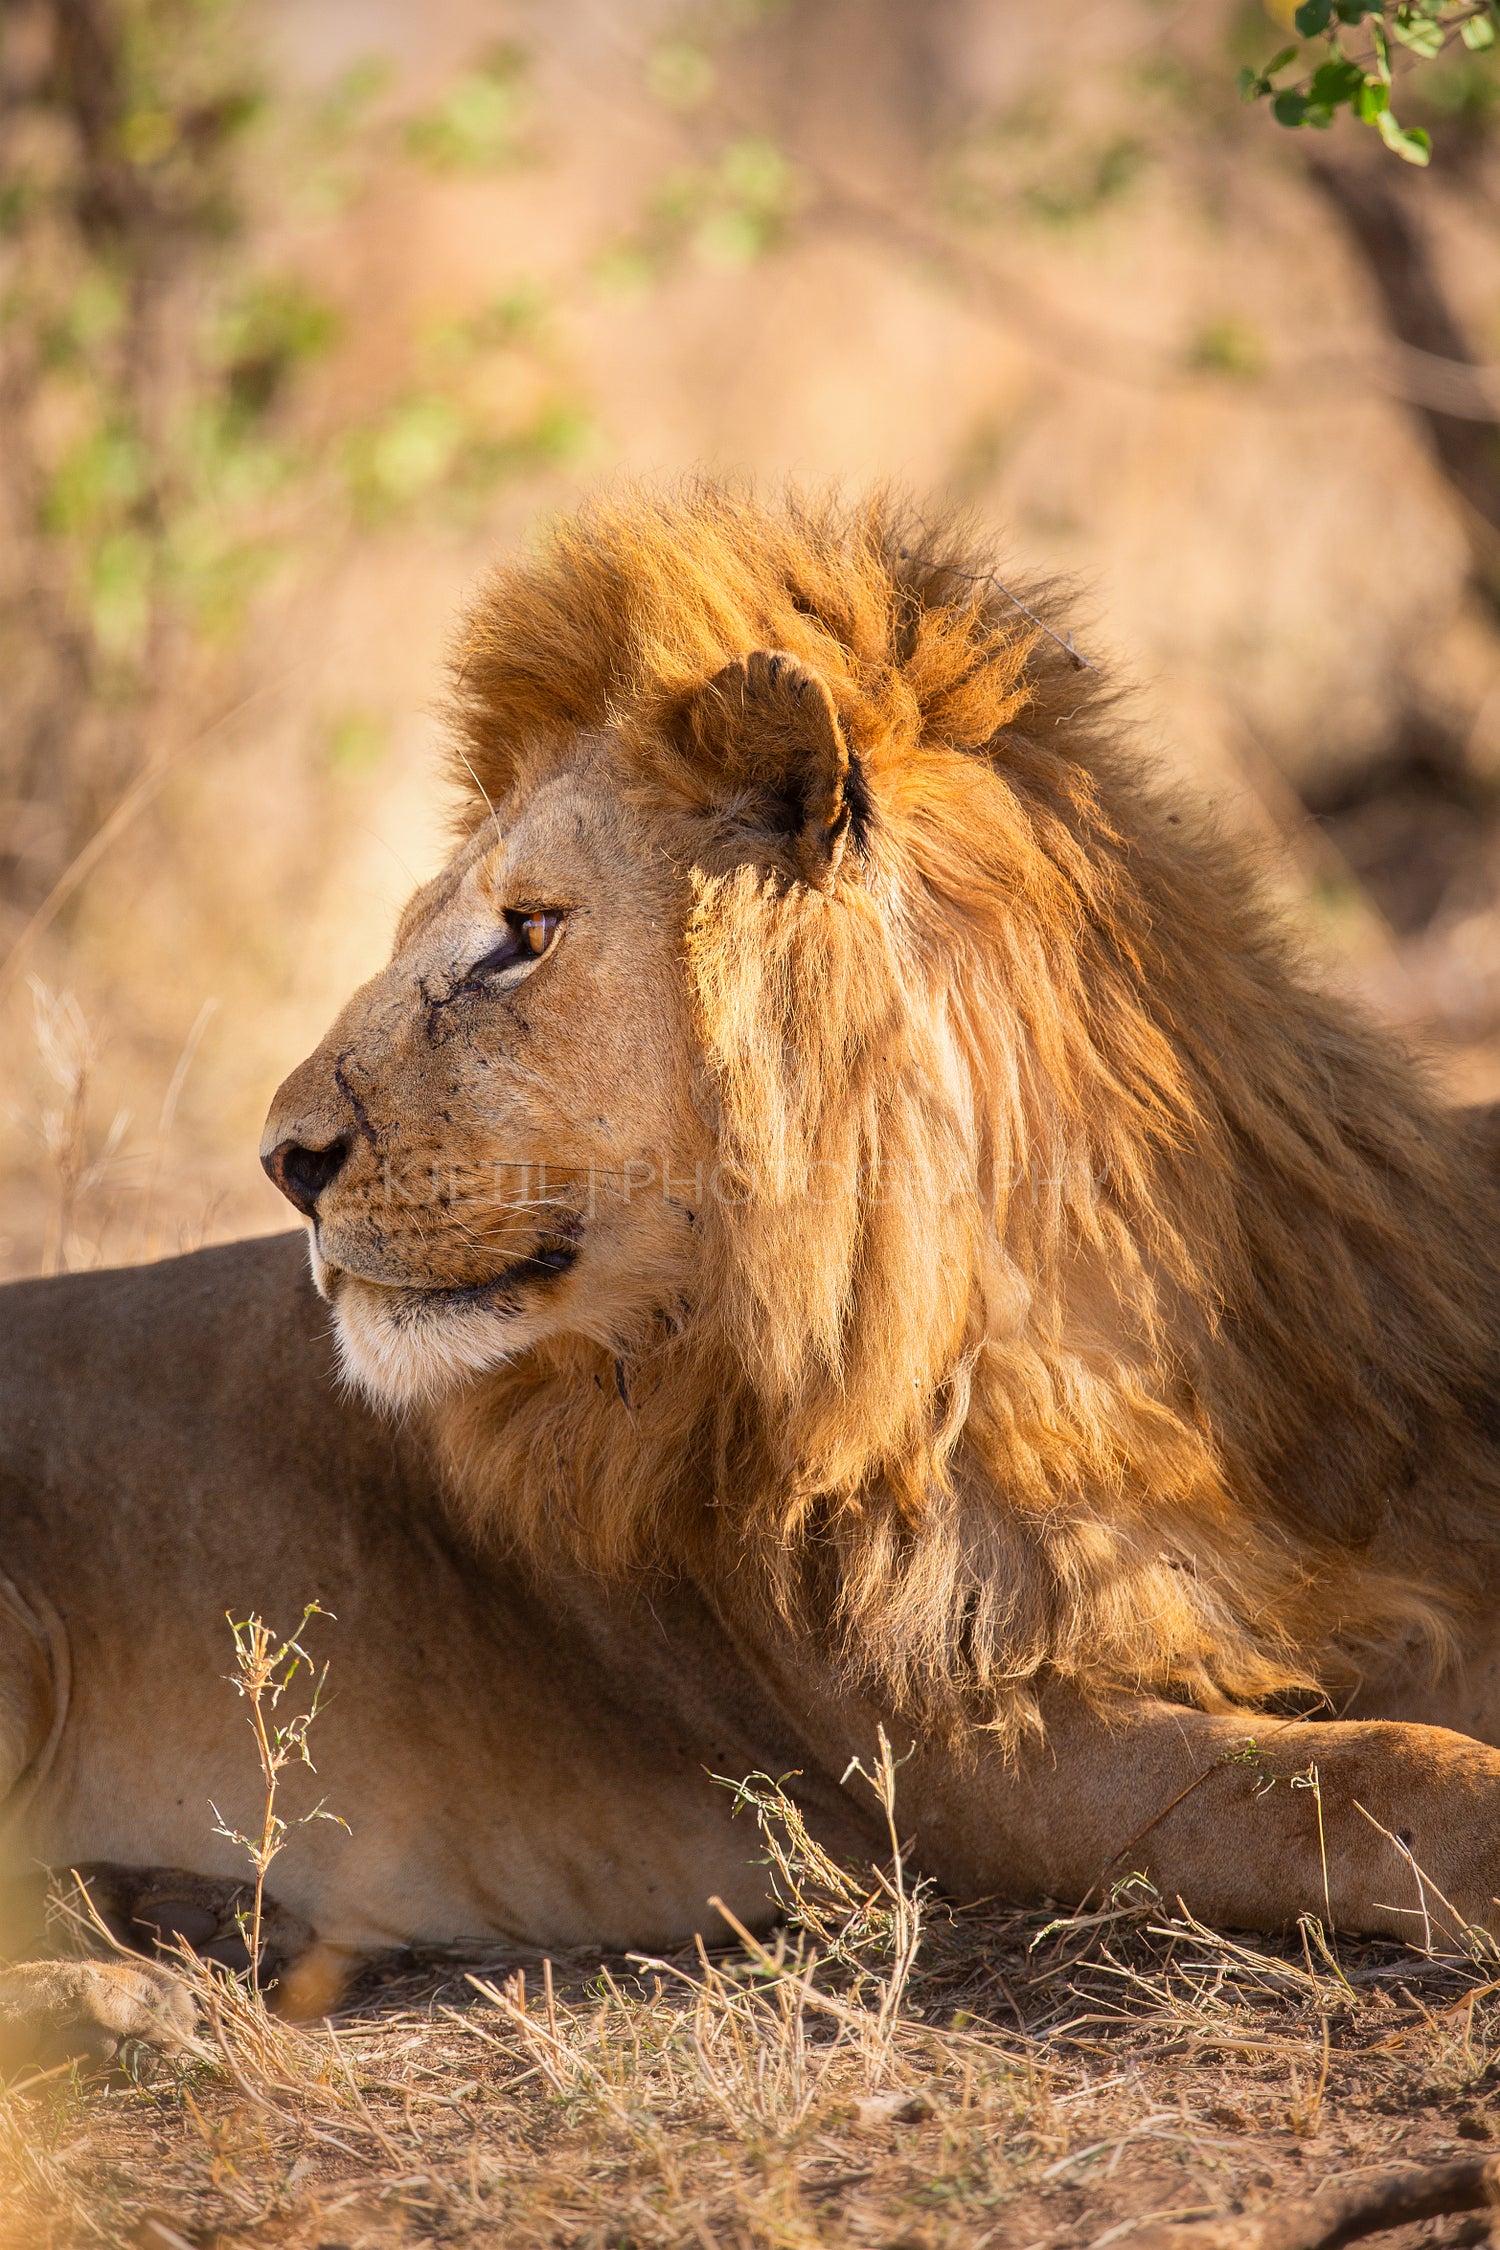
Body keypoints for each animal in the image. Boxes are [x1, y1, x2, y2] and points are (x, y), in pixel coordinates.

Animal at [5, 483, 1500, 2061]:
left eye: (523, 937)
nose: (282, 1159)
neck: (1042, 1334)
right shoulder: (994, 1758)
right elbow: (1372, 1777)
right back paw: (131, 1993)